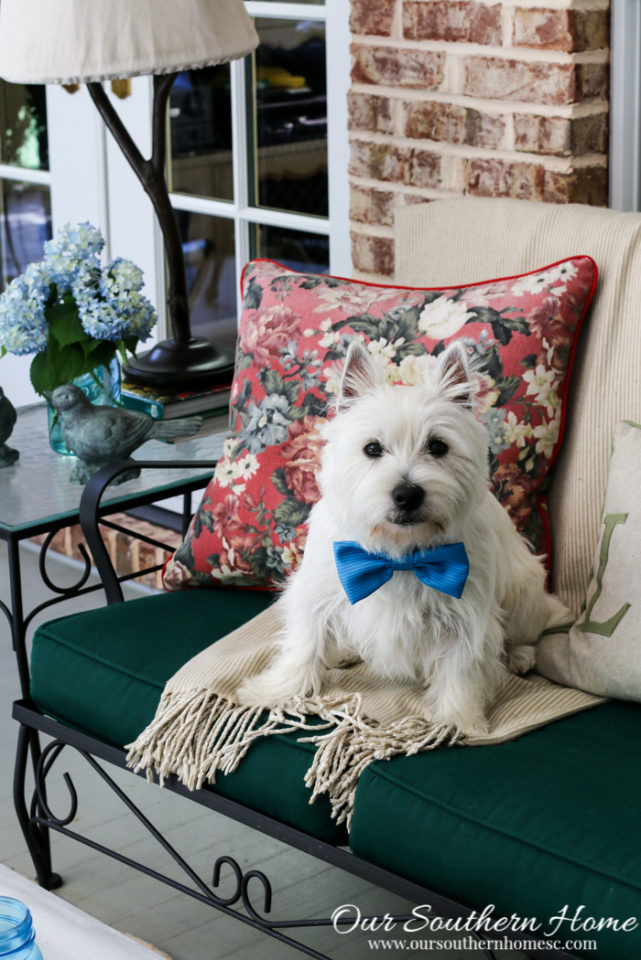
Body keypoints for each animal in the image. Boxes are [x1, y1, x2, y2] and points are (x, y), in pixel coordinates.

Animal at [240, 340, 568, 736]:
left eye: (438, 446)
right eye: (372, 448)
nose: (407, 494)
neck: (398, 555)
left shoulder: (466, 612)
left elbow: (461, 668)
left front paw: (457, 719)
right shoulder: (319, 592)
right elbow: (304, 645)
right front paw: (274, 691)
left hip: (525, 590)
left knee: (525, 633)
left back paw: (518, 656)